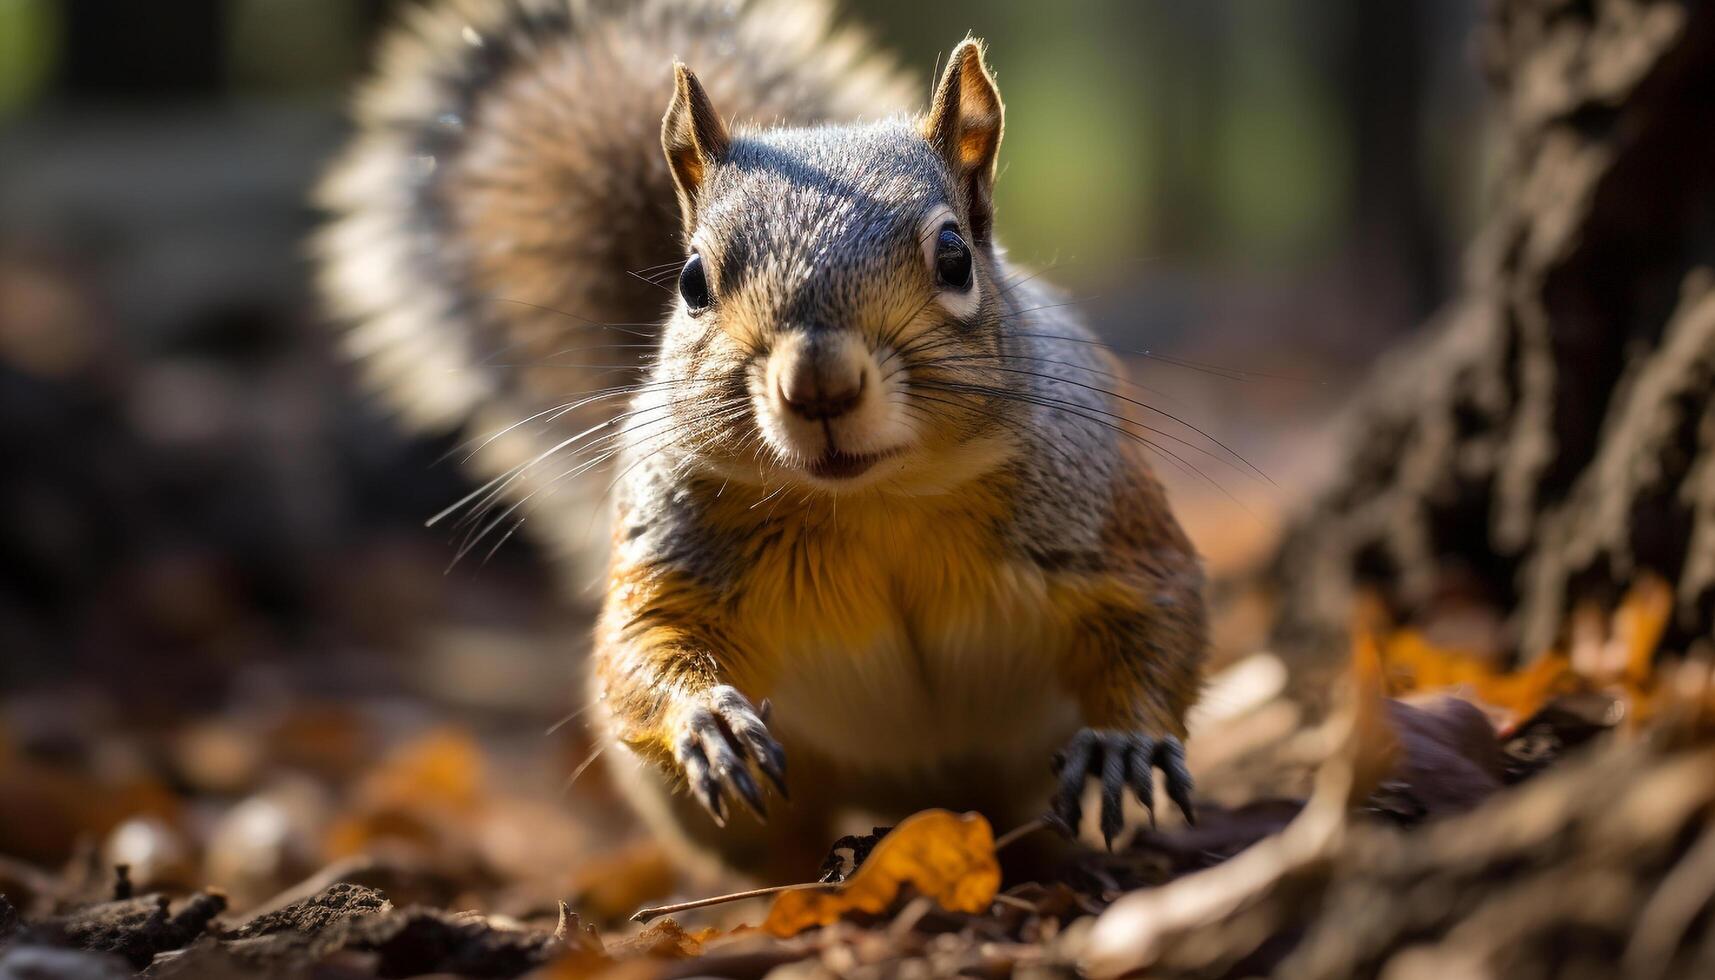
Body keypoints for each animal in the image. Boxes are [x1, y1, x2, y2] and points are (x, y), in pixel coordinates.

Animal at [318, 0, 1207, 885]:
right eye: (691, 281)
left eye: (955, 257)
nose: (818, 383)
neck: (875, 504)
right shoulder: (675, 548)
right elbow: (641, 644)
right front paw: (705, 719)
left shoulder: (1099, 513)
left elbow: (1157, 608)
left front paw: (1123, 744)